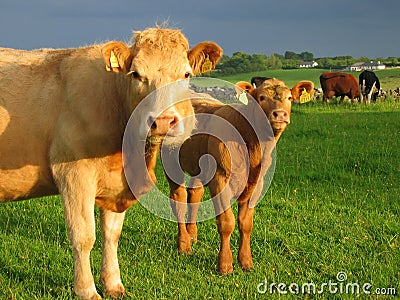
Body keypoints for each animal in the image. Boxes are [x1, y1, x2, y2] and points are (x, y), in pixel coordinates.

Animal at [0, 27, 222, 298]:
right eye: (136, 74)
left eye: (186, 74)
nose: (162, 121)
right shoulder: (74, 175)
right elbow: (84, 236)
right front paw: (86, 289)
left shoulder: (117, 185)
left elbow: (112, 235)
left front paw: (114, 284)